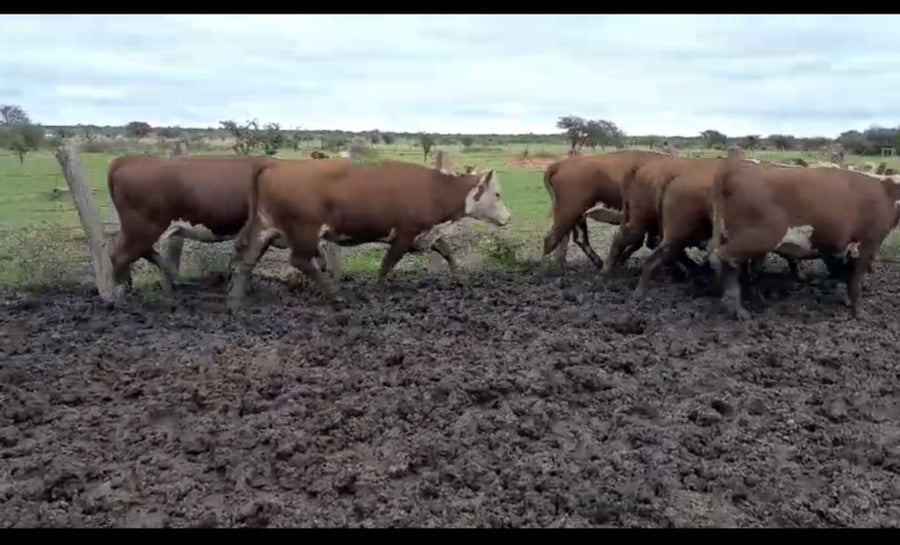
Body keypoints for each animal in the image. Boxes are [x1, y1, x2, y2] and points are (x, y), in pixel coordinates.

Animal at [107, 154, 344, 293]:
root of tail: (129, 159)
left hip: (140, 228)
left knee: (139, 252)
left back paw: (173, 279)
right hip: (142, 226)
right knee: (120, 255)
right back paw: (118, 296)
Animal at [226, 160, 511, 308]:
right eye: (497, 194)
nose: (508, 218)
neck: (435, 189)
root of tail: (274, 165)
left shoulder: (426, 233)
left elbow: (446, 249)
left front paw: (461, 279)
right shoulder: (404, 235)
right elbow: (387, 264)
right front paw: (380, 291)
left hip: (265, 228)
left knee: (248, 259)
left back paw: (235, 300)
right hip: (305, 231)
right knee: (300, 261)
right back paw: (336, 293)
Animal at [541, 150, 669, 271]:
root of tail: (561, 165)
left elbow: (640, 242)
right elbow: (639, 242)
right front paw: (620, 261)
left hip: (576, 216)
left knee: (573, 239)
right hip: (568, 213)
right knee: (551, 240)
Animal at [709, 155, 900, 319]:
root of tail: (738, 167)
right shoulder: (868, 243)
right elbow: (856, 279)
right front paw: (857, 311)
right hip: (758, 237)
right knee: (722, 258)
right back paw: (737, 308)